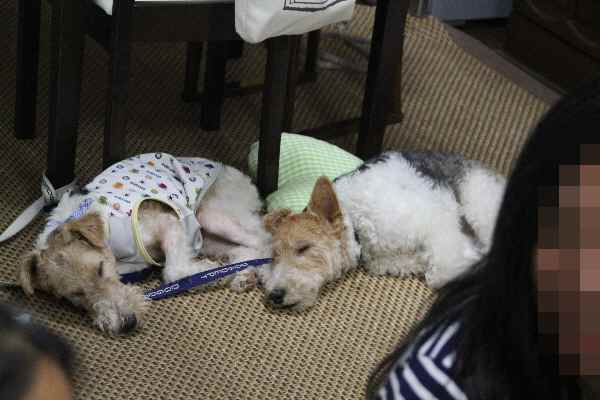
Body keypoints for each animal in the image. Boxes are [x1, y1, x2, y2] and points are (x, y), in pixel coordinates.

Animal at [19, 153, 271, 335]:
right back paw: (242, 275)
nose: (127, 322)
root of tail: (241, 176)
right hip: (209, 237)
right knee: (246, 249)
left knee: (263, 240)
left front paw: (206, 272)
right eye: (76, 294)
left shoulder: (168, 222)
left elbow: (173, 271)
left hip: (211, 215)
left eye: (100, 269)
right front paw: (214, 272)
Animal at [261, 151, 506, 310]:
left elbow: (443, 270)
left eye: (304, 248)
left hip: (479, 204)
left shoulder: (437, 224)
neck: (358, 222)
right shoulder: (389, 260)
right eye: (274, 256)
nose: (275, 295)